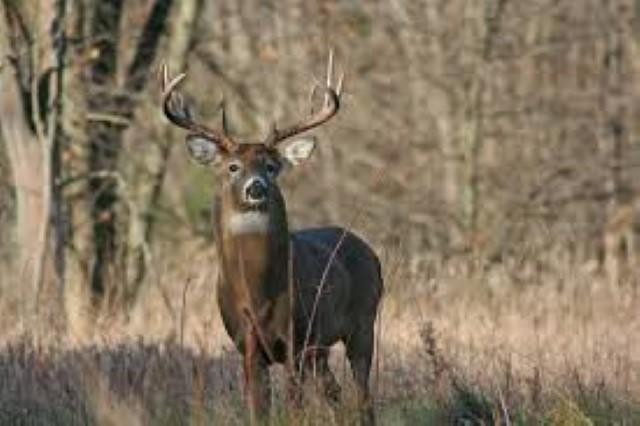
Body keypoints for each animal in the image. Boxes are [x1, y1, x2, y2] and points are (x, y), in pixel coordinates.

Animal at [160, 52, 383, 425]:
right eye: (233, 167)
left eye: (271, 166)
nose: (256, 188)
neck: (258, 294)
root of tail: (369, 250)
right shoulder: (247, 345)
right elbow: (258, 409)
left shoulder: (295, 339)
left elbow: (294, 406)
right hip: (321, 348)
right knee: (334, 391)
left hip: (363, 321)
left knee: (362, 394)